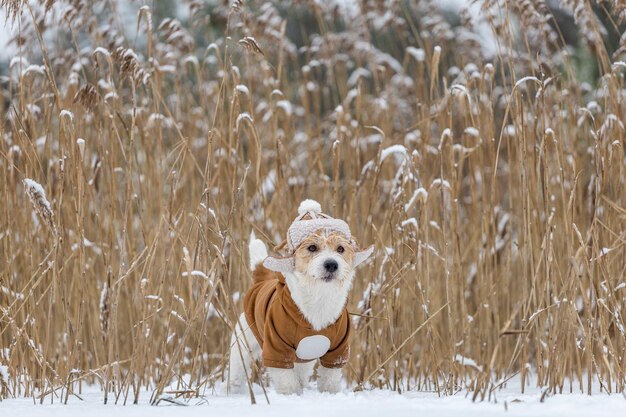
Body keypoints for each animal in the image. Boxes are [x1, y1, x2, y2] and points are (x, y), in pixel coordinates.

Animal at [227, 198, 372, 394]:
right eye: (312, 247)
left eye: (340, 249)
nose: (331, 264)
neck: (319, 297)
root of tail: (261, 279)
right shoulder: (277, 348)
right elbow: (287, 382)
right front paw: (291, 396)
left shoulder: (337, 351)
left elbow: (330, 380)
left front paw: (330, 394)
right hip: (242, 345)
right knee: (236, 374)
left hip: (305, 358)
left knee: (301, 375)